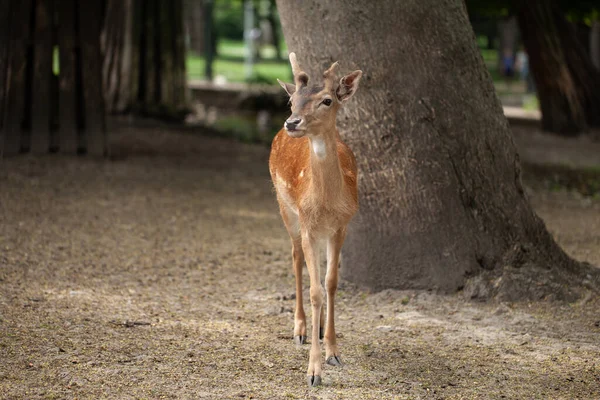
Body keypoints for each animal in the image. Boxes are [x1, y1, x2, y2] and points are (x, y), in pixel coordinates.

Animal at [270, 51, 364, 386]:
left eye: (327, 100)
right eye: (292, 100)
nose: (292, 122)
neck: (325, 204)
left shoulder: (342, 225)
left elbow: (331, 283)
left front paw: (333, 352)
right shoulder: (309, 224)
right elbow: (314, 291)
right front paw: (313, 371)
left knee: (320, 274)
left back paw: (320, 329)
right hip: (285, 208)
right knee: (296, 257)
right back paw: (300, 329)